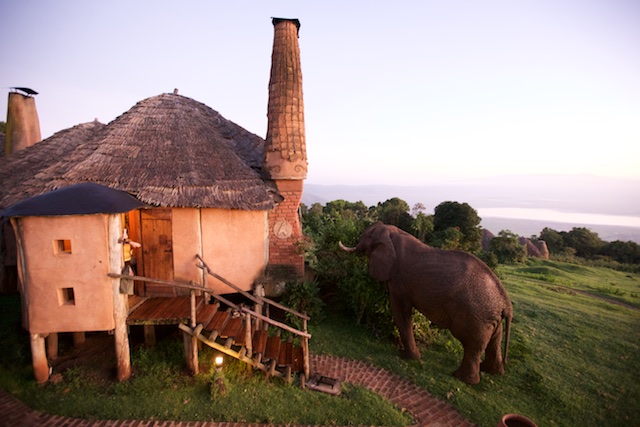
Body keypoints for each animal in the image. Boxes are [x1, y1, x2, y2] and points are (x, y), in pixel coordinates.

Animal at [340, 222, 516, 386]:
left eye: (366, 236)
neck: (392, 233)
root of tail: (505, 302)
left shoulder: (399, 281)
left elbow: (400, 310)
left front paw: (409, 358)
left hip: (476, 316)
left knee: (472, 345)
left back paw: (461, 378)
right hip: (491, 318)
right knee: (494, 341)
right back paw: (491, 371)